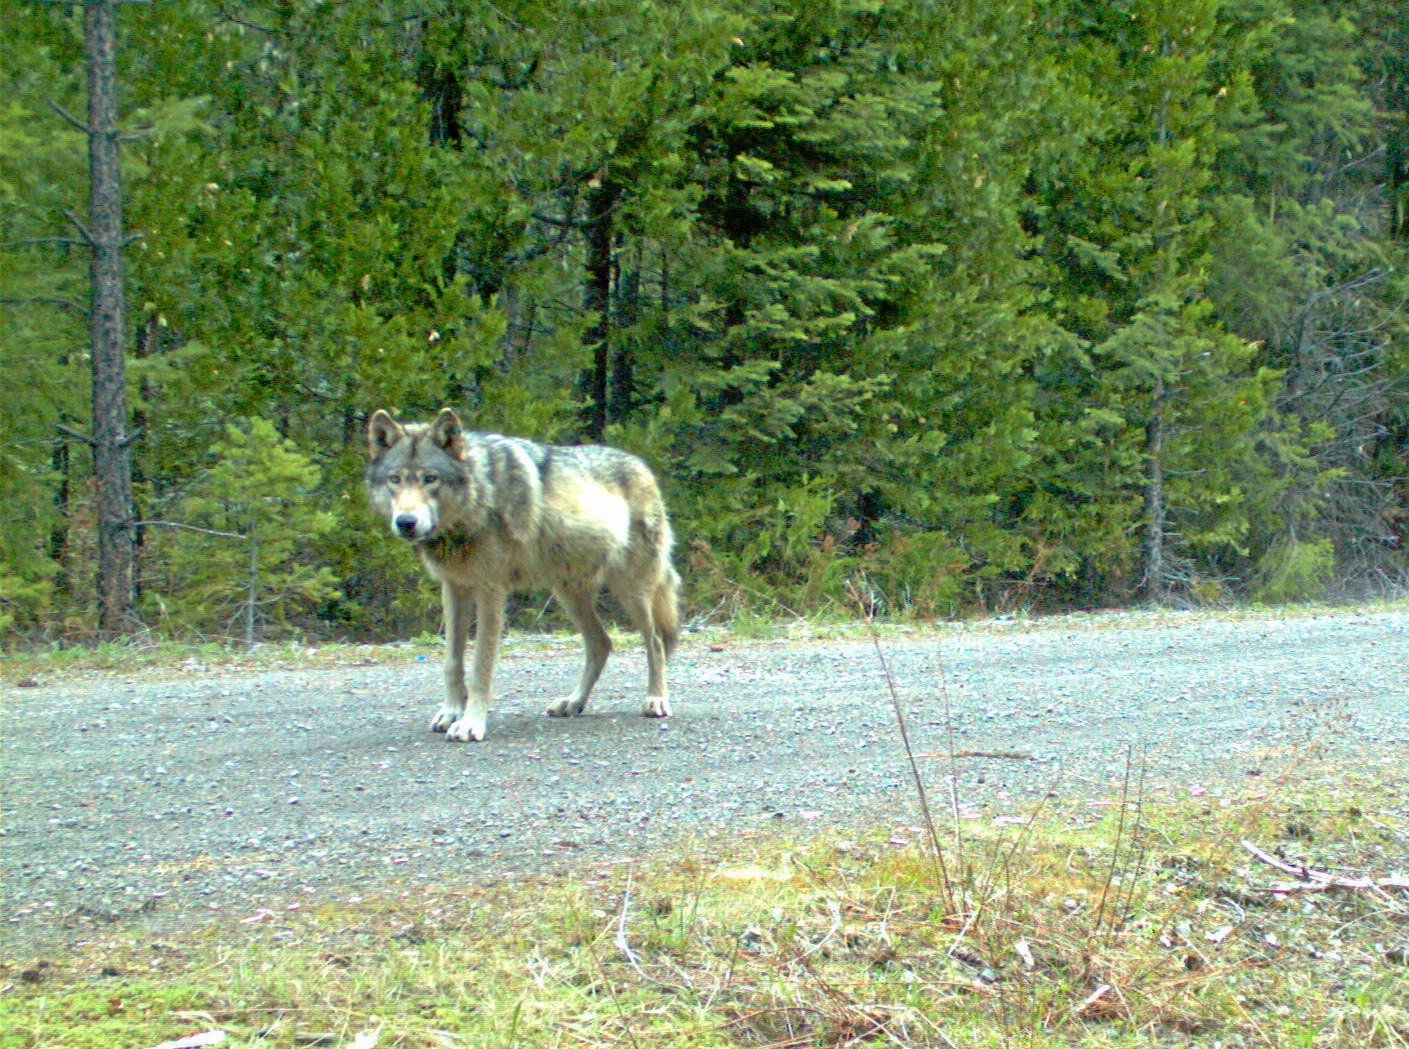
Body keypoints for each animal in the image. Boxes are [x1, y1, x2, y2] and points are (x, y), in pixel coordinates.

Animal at [360, 406, 673, 744]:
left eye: (430, 479)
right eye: (395, 479)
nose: (405, 522)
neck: (479, 496)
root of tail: (643, 465)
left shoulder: (490, 591)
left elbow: (481, 666)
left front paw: (471, 724)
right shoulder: (454, 587)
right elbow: (452, 662)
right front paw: (451, 713)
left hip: (631, 590)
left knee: (655, 641)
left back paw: (656, 699)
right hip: (568, 594)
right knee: (601, 644)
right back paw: (573, 703)